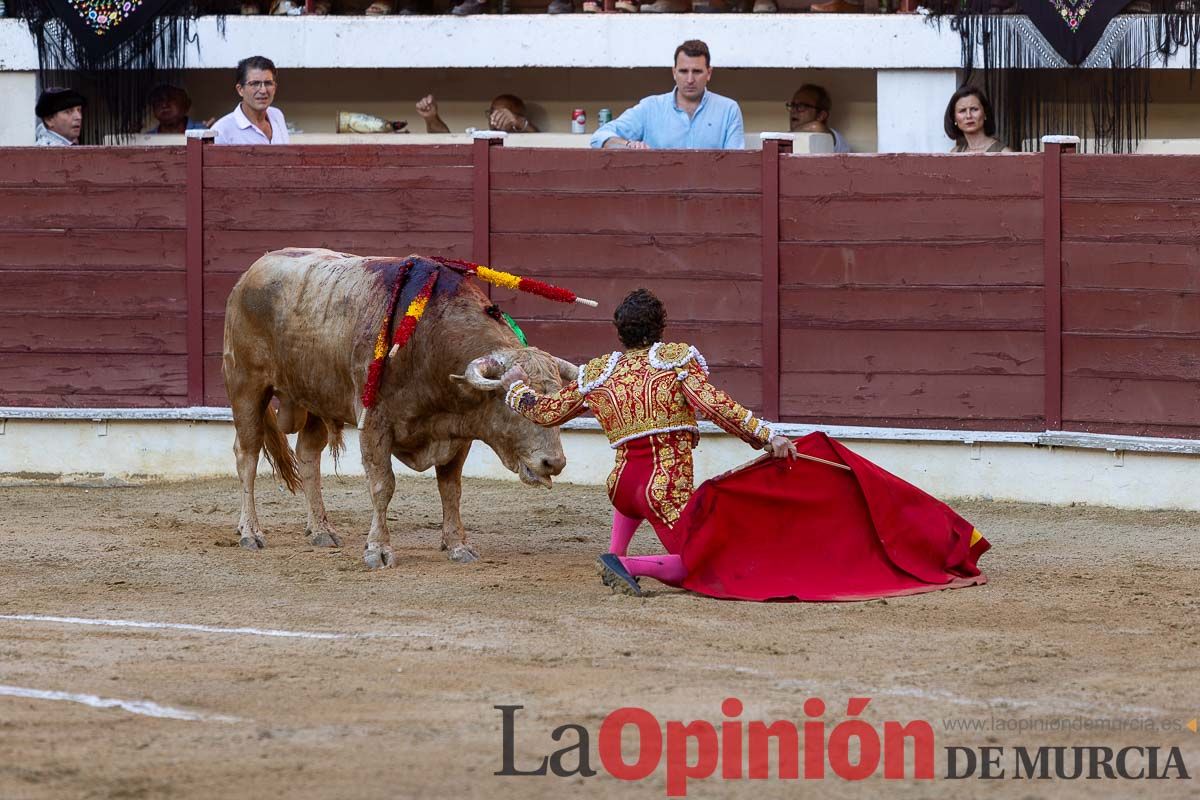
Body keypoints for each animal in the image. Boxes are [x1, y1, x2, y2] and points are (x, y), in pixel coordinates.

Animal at [225, 250, 580, 568]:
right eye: (517, 405)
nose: (554, 463)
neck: (429, 344)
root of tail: (250, 273)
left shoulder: (458, 432)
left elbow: (451, 489)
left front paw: (457, 545)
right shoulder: (374, 424)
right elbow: (383, 485)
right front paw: (378, 550)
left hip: (314, 397)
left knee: (308, 455)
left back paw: (321, 530)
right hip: (247, 387)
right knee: (247, 454)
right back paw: (251, 533)